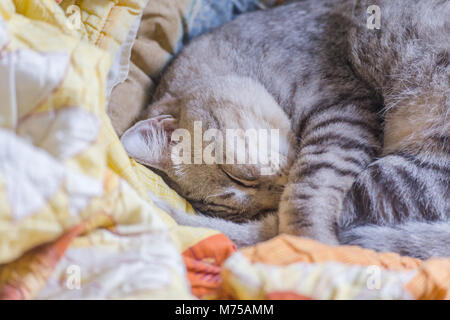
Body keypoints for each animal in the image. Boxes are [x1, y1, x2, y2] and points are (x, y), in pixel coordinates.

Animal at [120, 0, 450, 258]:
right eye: (249, 206)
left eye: (235, 176)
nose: (274, 194)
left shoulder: (342, 109)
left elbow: (303, 202)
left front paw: (310, 245)